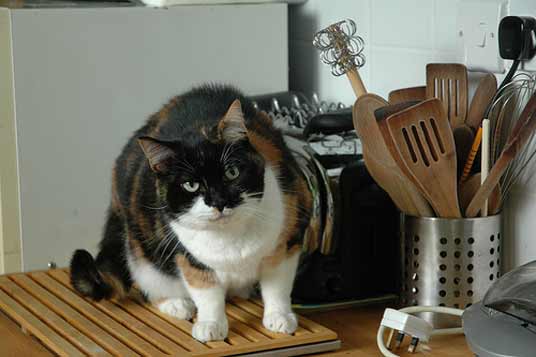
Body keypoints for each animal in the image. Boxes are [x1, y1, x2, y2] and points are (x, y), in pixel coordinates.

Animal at [71, 84, 314, 342]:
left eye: (232, 173)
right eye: (191, 185)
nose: (219, 202)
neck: (230, 240)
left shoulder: (288, 240)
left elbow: (277, 286)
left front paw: (280, 317)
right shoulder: (189, 258)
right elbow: (207, 293)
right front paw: (210, 325)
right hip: (142, 250)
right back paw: (177, 304)